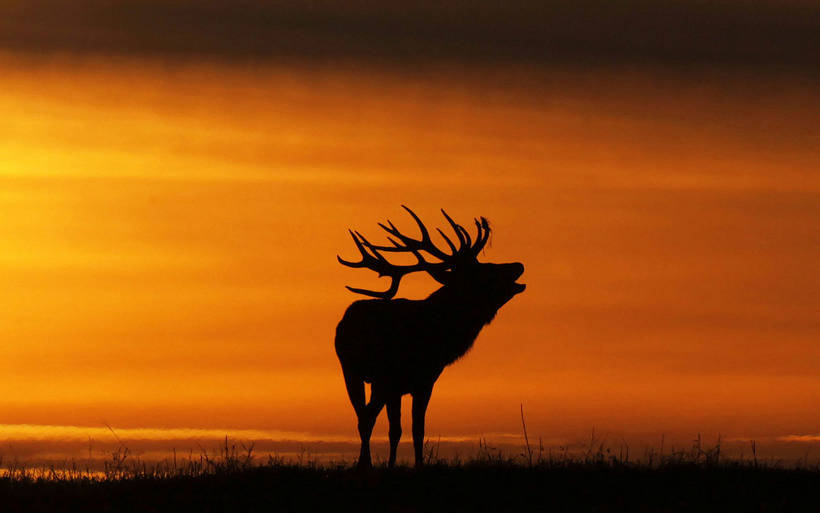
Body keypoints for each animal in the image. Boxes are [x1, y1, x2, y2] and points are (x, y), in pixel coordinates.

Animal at [334, 205, 524, 468]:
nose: (518, 265)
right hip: (352, 371)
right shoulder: (394, 380)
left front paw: (414, 465)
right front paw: (393, 466)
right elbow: (396, 428)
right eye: (485, 271)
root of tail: (344, 321)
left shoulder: (424, 381)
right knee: (365, 417)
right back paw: (365, 464)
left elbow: (415, 430)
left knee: (365, 415)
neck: (437, 335)